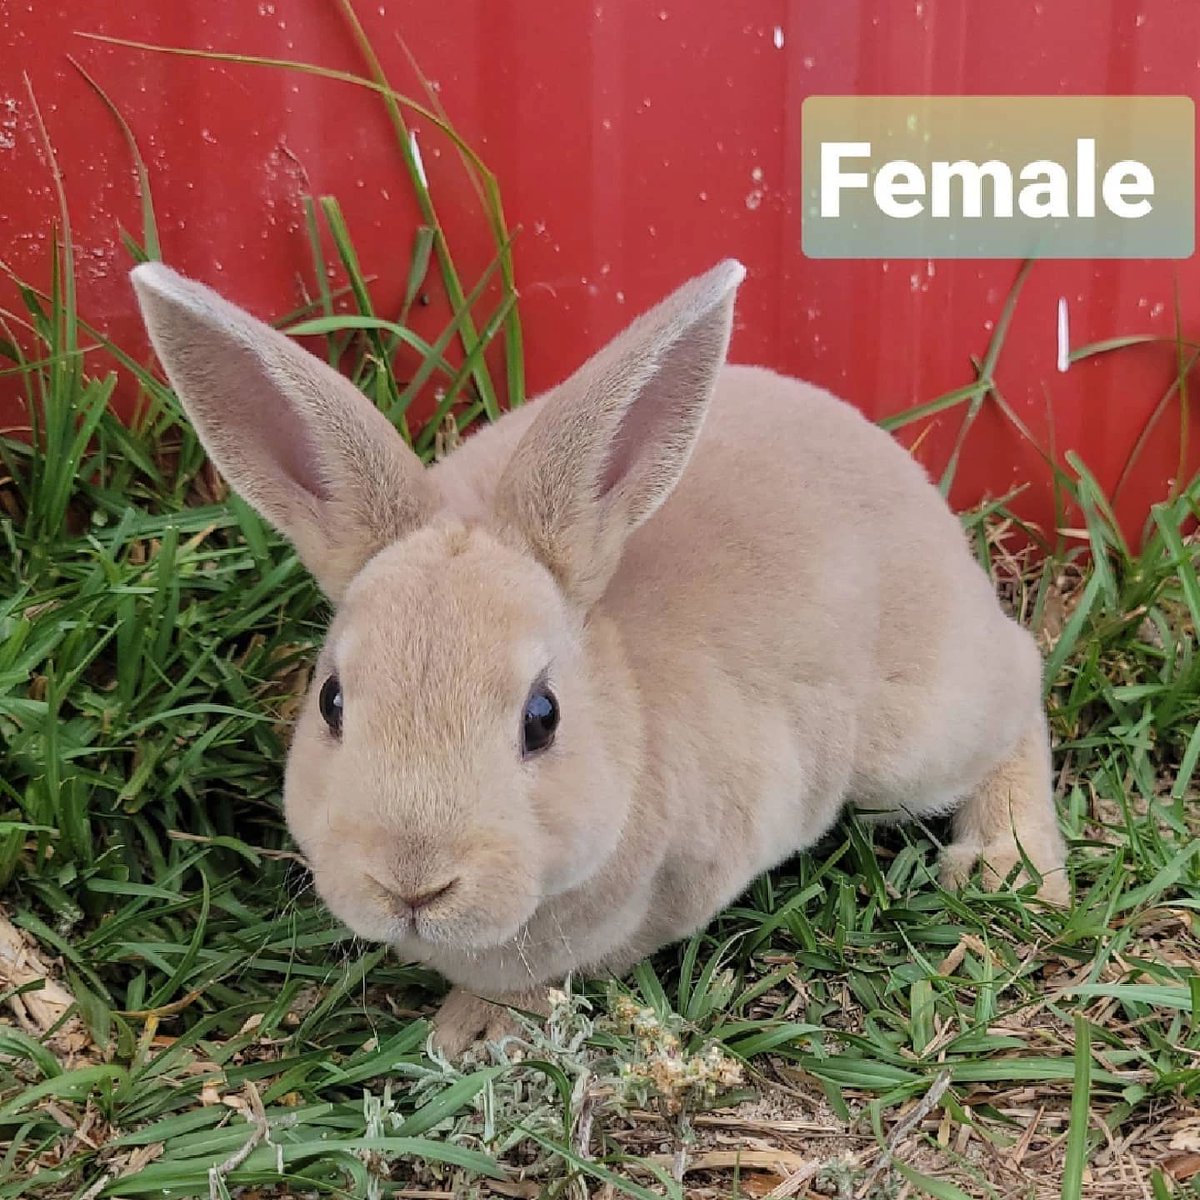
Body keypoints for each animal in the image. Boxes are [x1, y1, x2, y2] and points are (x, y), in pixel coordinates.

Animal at [131, 259, 1068, 1056]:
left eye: (542, 719)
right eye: (331, 701)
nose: (412, 882)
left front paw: (475, 1031)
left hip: (911, 740)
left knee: (1018, 697)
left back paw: (1005, 867)